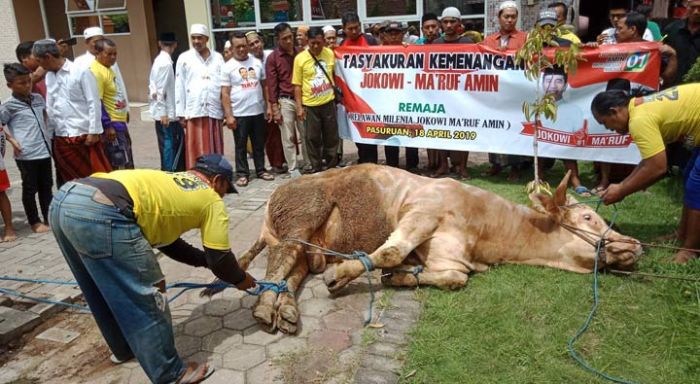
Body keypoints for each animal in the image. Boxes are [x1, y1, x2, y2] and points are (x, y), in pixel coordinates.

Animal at [219, 164, 640, 334]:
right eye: (588, 216)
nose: (635, 244)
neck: (487, 225)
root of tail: (280, 192)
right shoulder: (420, 213)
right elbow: (388, 252)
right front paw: (344, 275)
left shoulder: (451, 257)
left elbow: (454, 278)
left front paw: (401, 277)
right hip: (301, 218)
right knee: (278, 263)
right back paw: (265, 308)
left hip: (311, 244)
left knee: (291, 272)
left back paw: (286, 309)